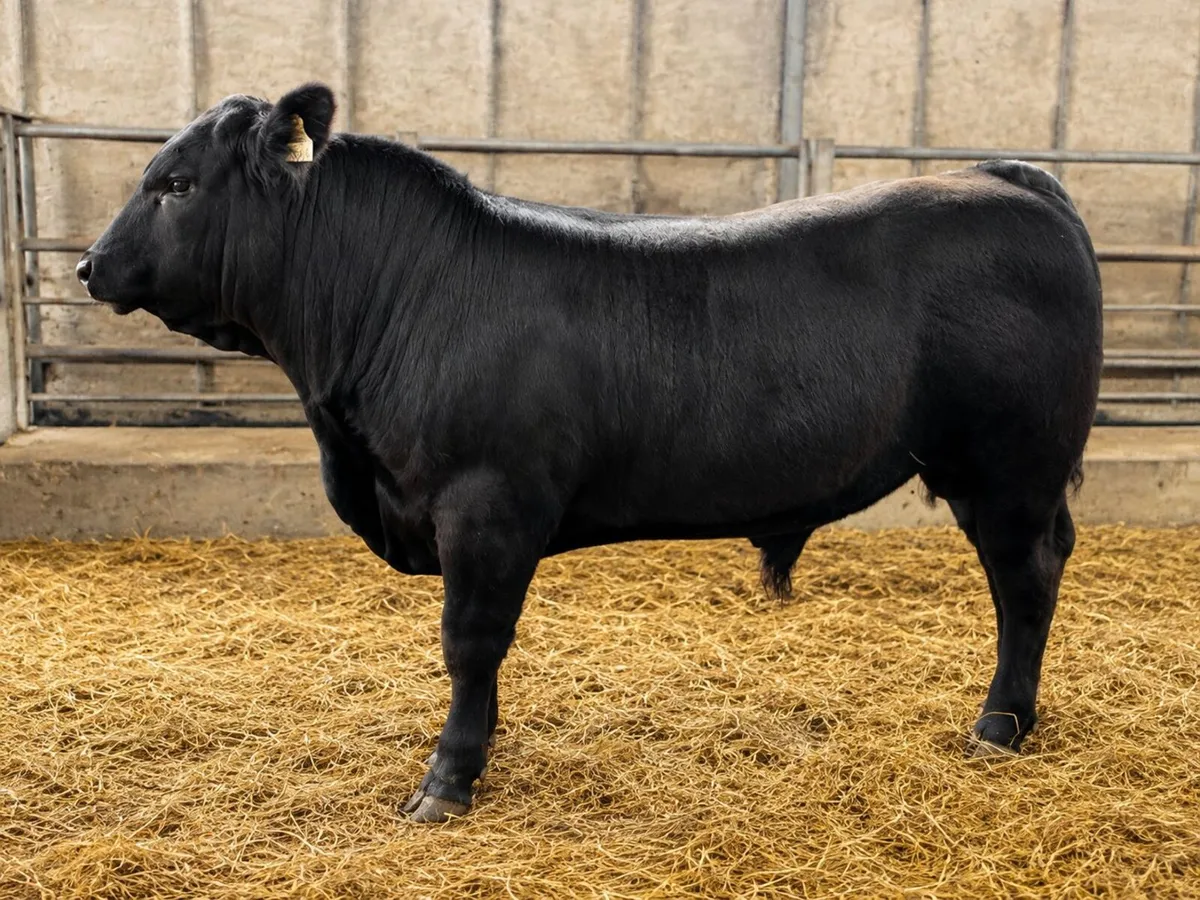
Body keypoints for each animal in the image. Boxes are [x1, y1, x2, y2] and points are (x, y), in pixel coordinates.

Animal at [77, 83, 1103, 823]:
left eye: (175, 184)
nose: (88, 266)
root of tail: (1004, 180)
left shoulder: (486, 505)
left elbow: (469, 642)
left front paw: (446, 783)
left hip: (1008, 469)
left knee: (1026, 583)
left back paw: (999, 725)